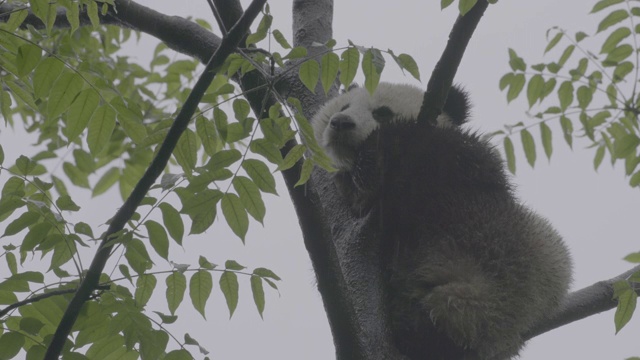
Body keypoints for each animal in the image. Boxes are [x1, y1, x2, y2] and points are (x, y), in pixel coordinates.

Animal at [312, 83, 572, 358]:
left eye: (382, 112)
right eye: (344, 106)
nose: (341, 122)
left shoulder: (458, 166)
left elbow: (463, 156)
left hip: (519, 250)